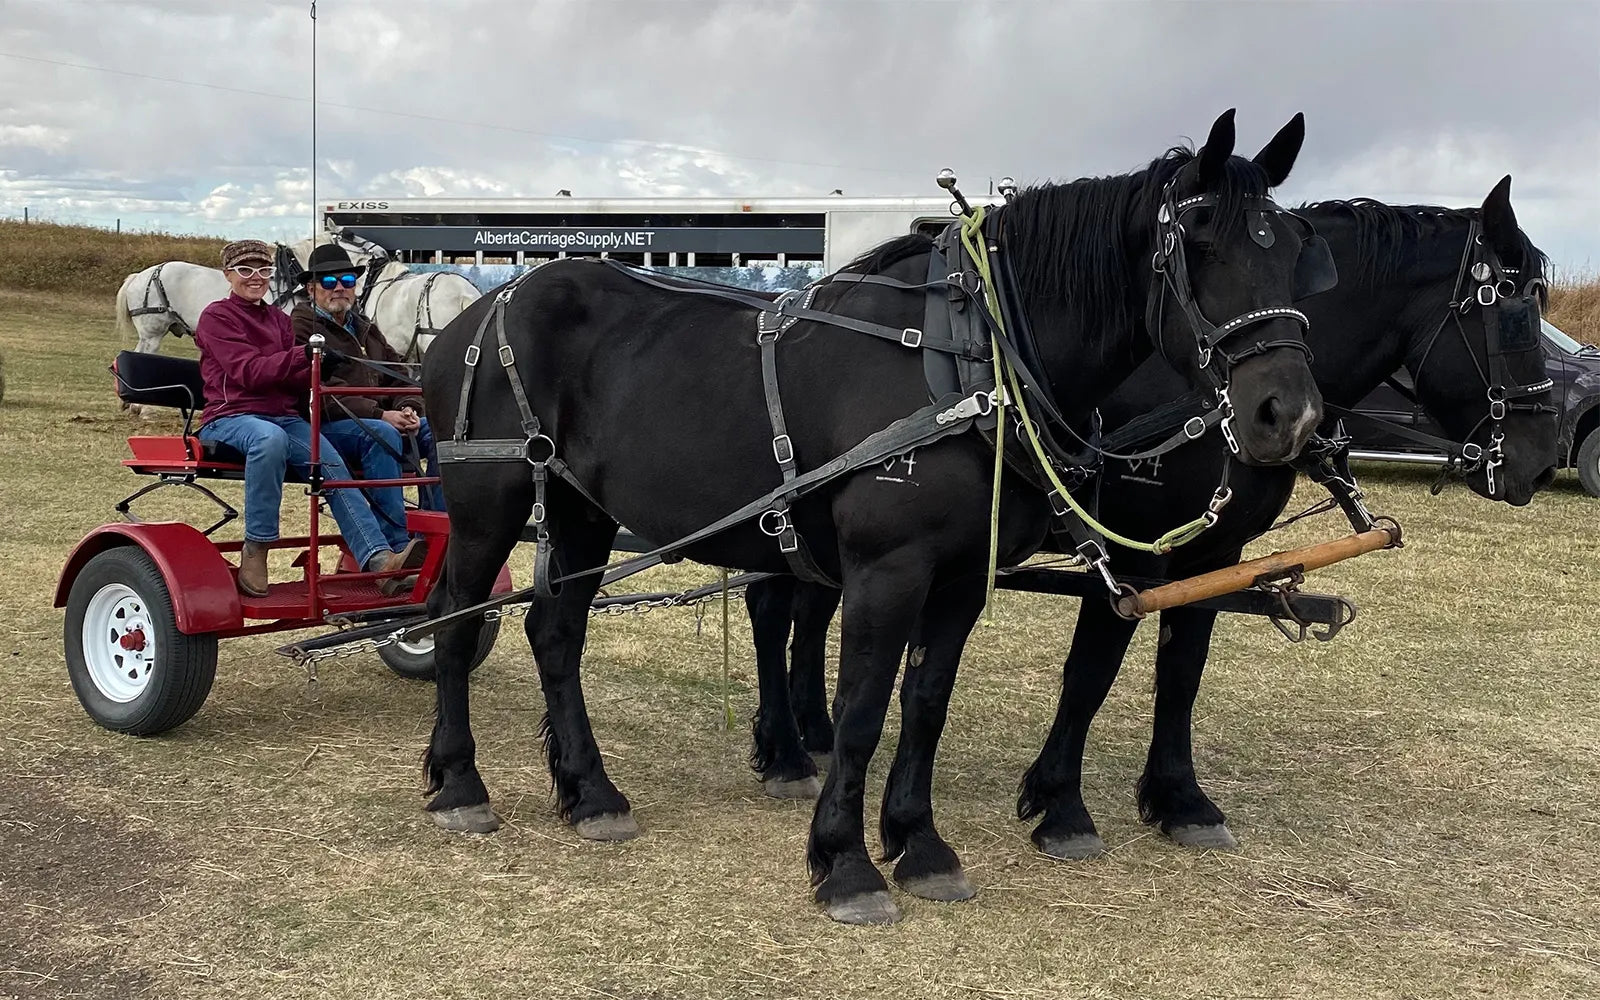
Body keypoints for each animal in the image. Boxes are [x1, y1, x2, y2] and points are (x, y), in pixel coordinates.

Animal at [425, 107, 1324, 921]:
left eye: (1292, 250)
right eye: (1199, 242)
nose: (1288, 414)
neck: (970, 359)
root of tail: (477, 307)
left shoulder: (958, 578)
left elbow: (924, 706)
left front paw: (919, 844)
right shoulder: (887, 572)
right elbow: (859, 712)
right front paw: (846, 863)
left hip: (580, 513)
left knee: (555, 632)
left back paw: (590, 791)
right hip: (489, 505)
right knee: (458, 621)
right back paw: (460, 781)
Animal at [742, 173, 1555, 857]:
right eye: (1513, 312)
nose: (1541, 457)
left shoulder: (1214, 555)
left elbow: (1181, 671)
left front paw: (1178, 799)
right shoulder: (1134, 552)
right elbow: (1090, 672)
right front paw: (1060, 804)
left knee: (803, 609)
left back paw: (807, 733)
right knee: (774, 609)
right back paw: (786, 749)